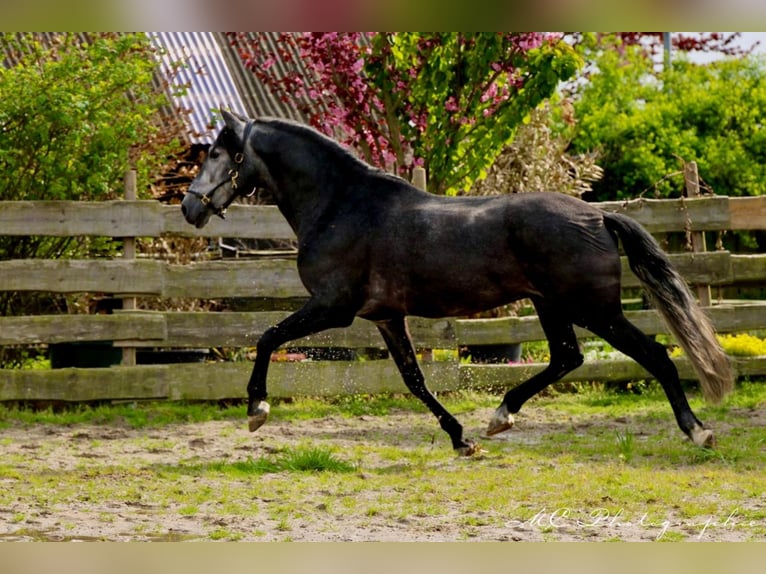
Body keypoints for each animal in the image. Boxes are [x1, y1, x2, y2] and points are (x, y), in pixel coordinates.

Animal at [181, 109, 734, 455]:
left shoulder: (332, 307)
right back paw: (499, 416)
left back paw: (699, 432)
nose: (189, 207)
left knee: (655, 355)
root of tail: (599, 216)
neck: (341, 205)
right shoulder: (385, 317)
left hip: (594, 309)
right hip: (551, 305)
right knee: (566, 358)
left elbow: (266, 337)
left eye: (217, 154)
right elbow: (414, 379)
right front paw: (460, 438)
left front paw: (257, 408)